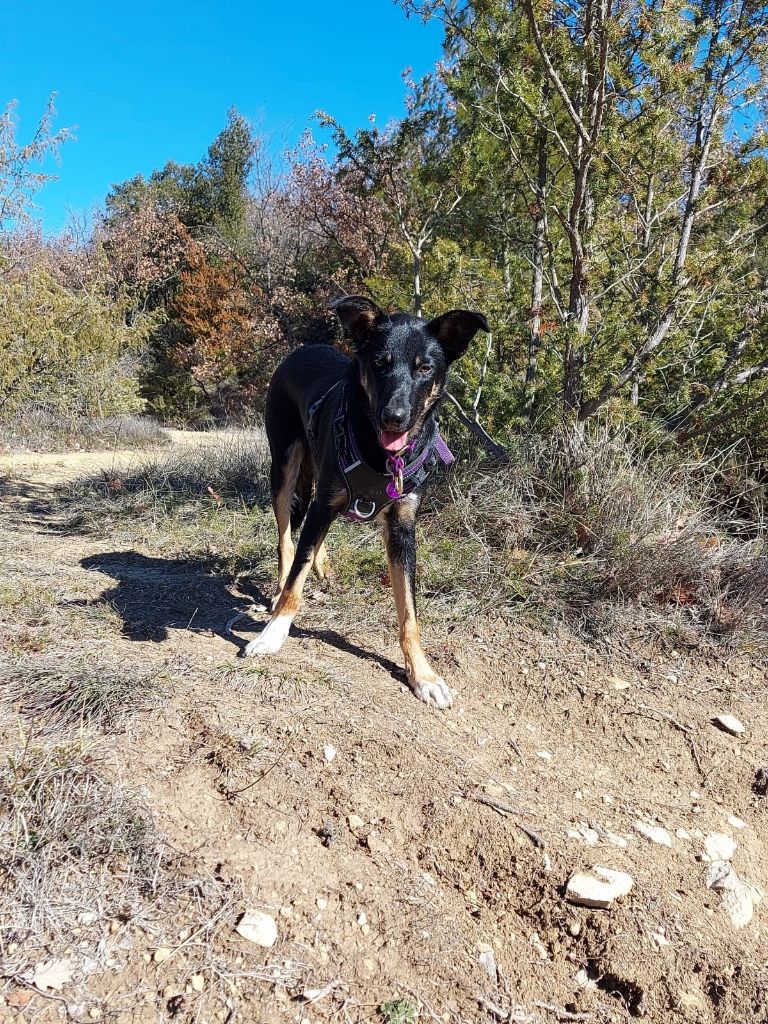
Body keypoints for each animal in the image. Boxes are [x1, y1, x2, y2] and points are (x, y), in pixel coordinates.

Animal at [243, 296, 489, 708]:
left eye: (425, 367)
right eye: (379, 363)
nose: (395, 418)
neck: (382, 454)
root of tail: (302, 350)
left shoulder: (402, 529)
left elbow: (409, 612)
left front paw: (422, 674)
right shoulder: (323, 504)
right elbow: (296, 577)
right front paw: (273, 633)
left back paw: (322, 566)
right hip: (285, 467)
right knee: (286, 539)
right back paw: (279, 587)